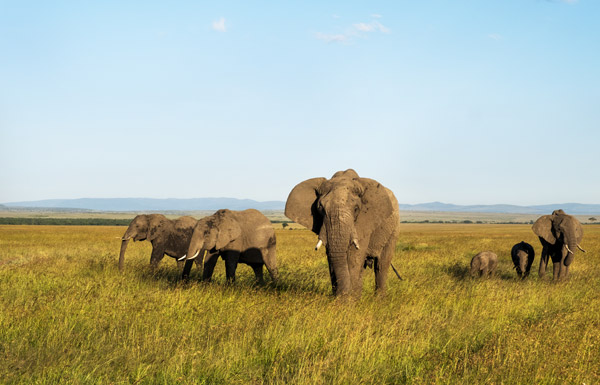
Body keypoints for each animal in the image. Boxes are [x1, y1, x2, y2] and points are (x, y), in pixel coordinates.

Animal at [284, 168, 398, 296]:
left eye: (356, 209)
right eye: (320, 208)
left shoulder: (364, 222)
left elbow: (354, 256)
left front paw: (347, 300)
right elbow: (332, 257)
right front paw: (341, 299)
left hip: (394, 229)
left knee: (381, 265)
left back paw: (378, 299)